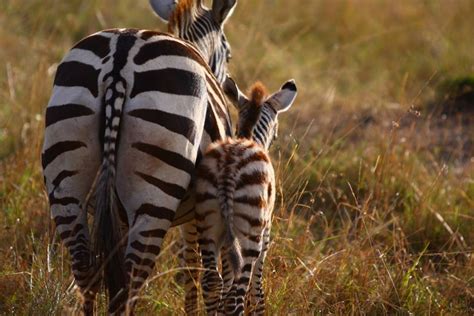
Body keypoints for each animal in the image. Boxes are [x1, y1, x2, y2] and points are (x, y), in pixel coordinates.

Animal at [41, 0, 237, 314]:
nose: (231, 86)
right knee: (131, 280)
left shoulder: (118, 217)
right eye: (228, 53)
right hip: (155, 195)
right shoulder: (202, 210)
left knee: (87, 269)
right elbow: (201, 275)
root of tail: (120, 61)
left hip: (65, 185)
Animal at [194, 78, 298, 314]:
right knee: (237, 295)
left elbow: (225, 281)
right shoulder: (266, 234)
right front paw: (259, 310)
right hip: (250, 235)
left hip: (207, 224)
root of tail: (228, 169)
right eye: (276, 133)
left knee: (211, 282)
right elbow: (257, 288)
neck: (249, 136)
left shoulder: (225, 242)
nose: (275, 139)